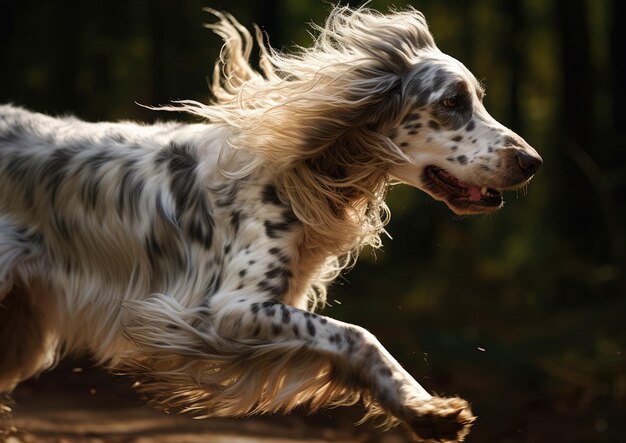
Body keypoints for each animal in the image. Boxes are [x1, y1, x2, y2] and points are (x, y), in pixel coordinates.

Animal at [0, 6, 536, 443]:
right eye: (450, 102)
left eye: (476, 98)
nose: (532, 162)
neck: (298, 171)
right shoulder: (225, 309)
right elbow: (356, 334)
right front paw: (423, 407)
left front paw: (419, 408)